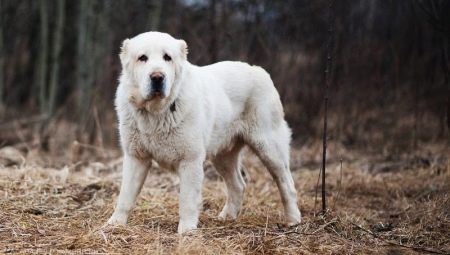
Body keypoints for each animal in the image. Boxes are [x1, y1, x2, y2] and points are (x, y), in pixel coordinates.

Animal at [107, 31, 300, 233]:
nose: (157, 77)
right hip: (223, 156)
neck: (157, 112)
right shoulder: (136, 157)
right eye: (142, 58)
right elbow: (125, 196)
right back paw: (227, 217)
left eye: (167, 57)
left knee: (286, 184)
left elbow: (187, 201)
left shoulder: (190, 160)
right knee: (238, 185)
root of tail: (260, 70)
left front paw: (187, 231)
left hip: (269, 148)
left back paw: (293, 220)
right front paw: (115, 224)